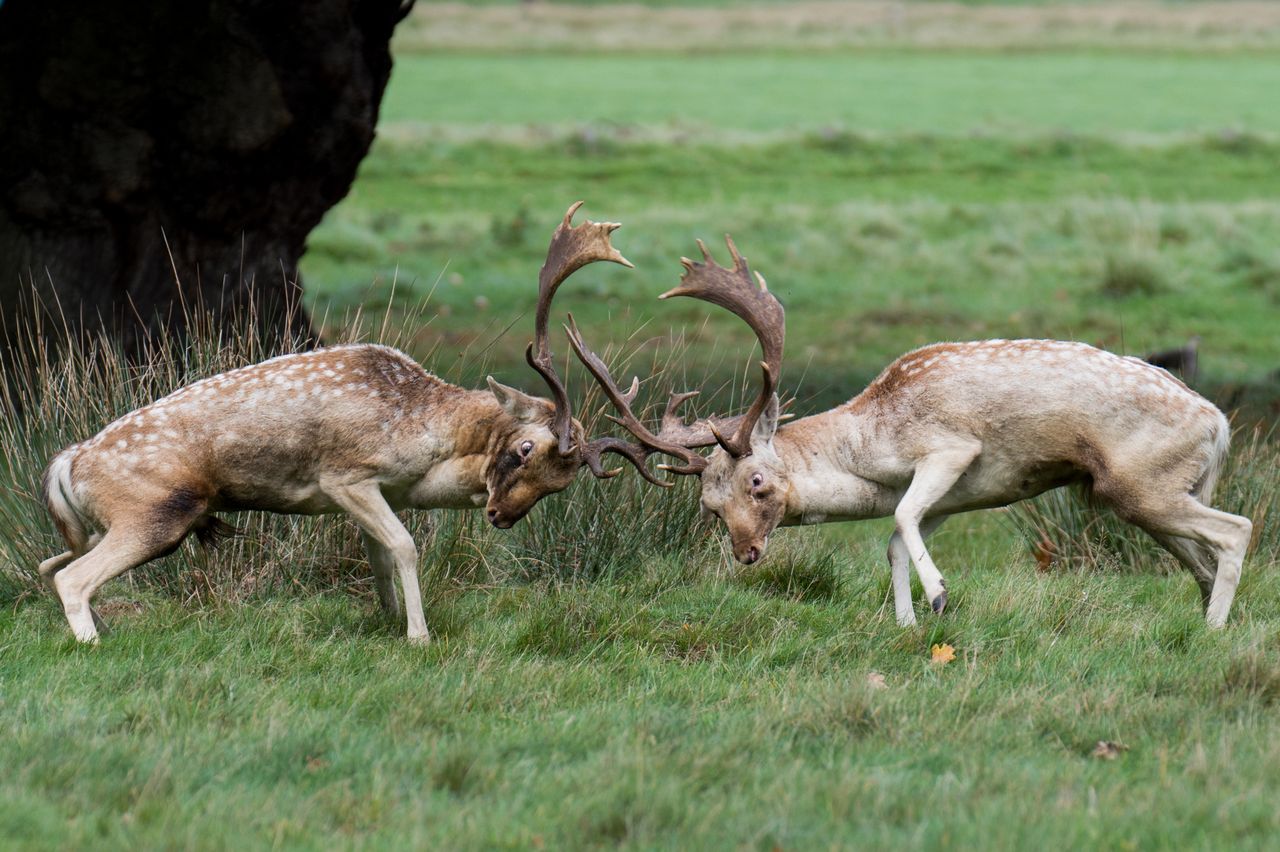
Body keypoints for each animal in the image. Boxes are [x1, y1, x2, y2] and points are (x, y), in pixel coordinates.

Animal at [36, 202, 665, 639]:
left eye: (562, 484)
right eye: (525, 449)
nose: (500, 516)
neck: (425, 442)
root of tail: (66, 463)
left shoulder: (372, 493)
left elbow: (380, 555)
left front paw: (388, 620)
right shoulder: (346, 475)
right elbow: (406, 547)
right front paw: (418, 635)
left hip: (108, 523)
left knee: (50, 563)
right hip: (156, 511)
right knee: (71, 577)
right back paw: (93, 644)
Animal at [565, 235, 1254, 626]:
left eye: (757, 482)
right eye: (709, 505)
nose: (746, 553)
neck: (875, 451)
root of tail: (1219, 422)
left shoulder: (952, 449)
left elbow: (898, 519)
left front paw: (942, 599)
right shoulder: (958, 494)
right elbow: (897, 537)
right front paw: (906, 626)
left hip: (1141, 484)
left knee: (1238, 528)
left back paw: (1214, 632)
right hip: (1143, 497)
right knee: (1199, 556)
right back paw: (1204, 616)